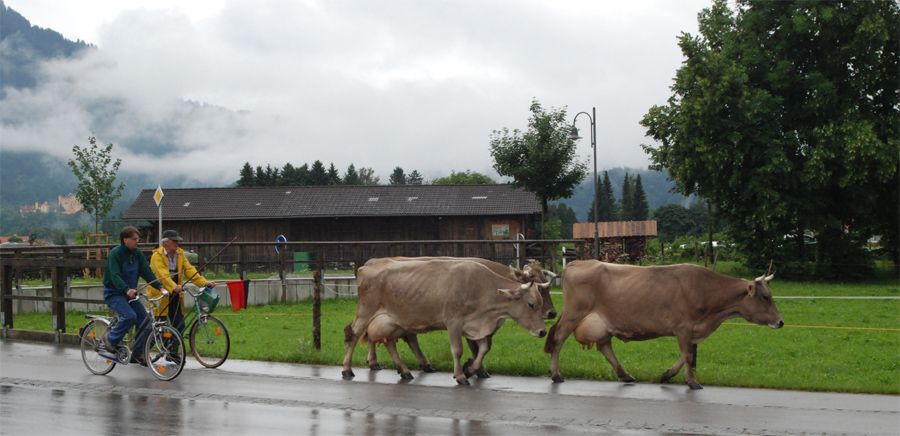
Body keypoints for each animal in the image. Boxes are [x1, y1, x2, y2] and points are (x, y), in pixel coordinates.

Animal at [342, 258, 544, 384]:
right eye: (531, 304)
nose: (542, 331)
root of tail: (368, 265)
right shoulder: (454, 322)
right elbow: (458, 350)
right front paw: (460, 376)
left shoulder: (475, 325)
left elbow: (484, 349)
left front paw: (471, 370)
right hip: (365, 312)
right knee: (353, 336)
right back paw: (347, 369)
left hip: (393, 322)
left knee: (390, 343)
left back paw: (405, 371)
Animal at [544, 260, 784, 390]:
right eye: (765, 297)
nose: (780, 322)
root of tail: (576, 263)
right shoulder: (683, 326)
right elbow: (688, 355)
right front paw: (692, 381)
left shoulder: (691, 330)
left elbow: (686, 356)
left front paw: (667, 375)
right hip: (574, 314)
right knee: (558, 338)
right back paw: (555, 374)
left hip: (603, 322)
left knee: (605, 347)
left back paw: (625, 374)